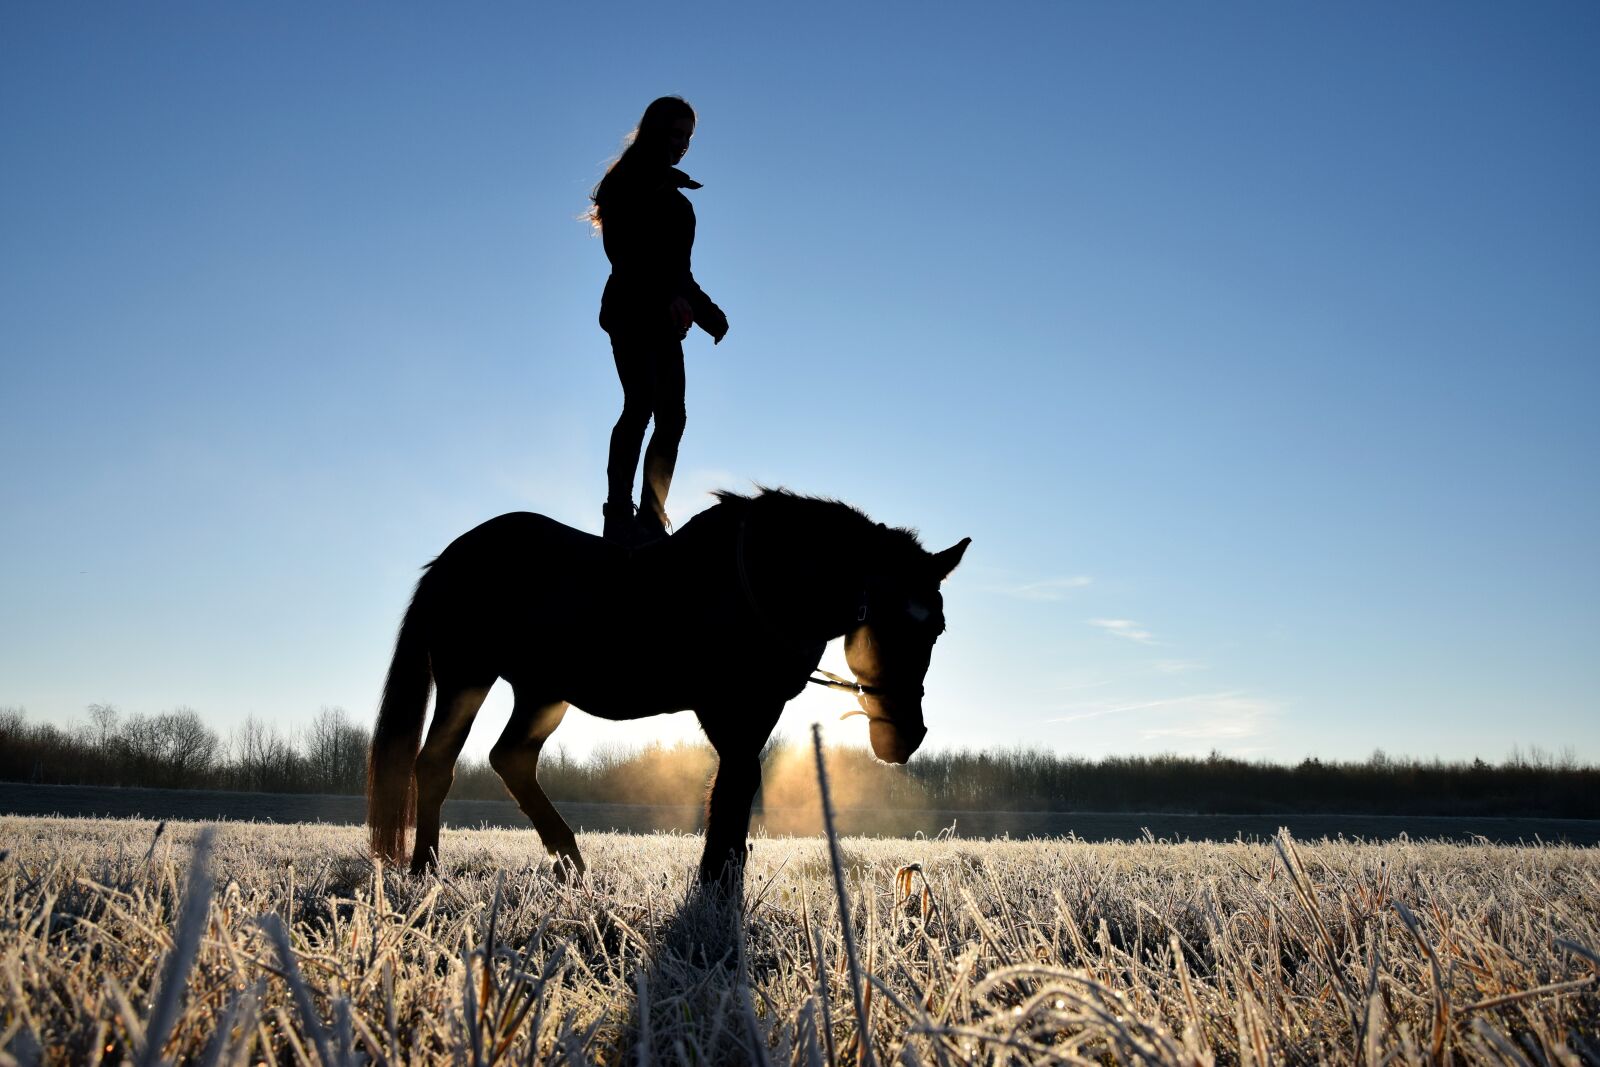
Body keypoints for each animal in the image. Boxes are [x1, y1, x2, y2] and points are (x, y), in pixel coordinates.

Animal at [366, 488, 969, 885]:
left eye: (937, 627)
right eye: (883, 620)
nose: (906, 736)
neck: (763, 582)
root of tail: (449, 560)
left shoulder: (757, 710)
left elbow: (739, 787)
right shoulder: (730, 707)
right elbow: (734, 787)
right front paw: (715, 885)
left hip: (542, 693)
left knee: (510, 758)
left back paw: (570, 859)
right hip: (468, 677)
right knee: (436, 762)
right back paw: (425, 868)